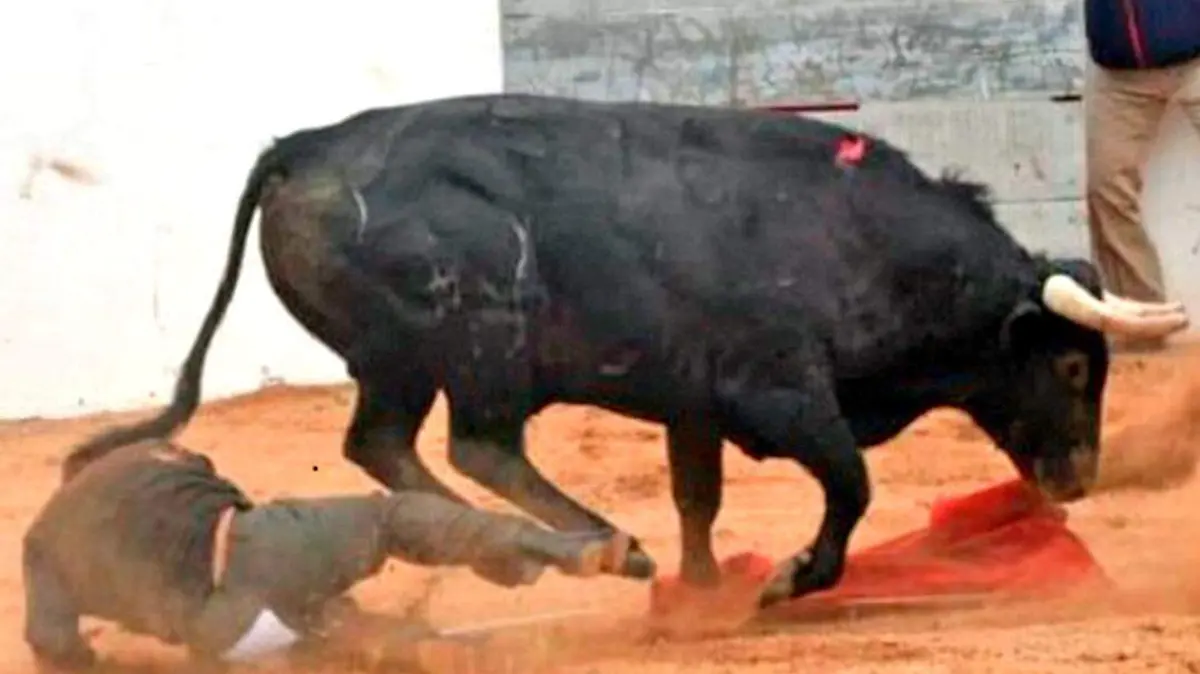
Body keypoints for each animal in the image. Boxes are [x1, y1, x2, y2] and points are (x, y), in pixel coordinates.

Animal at [63, 93, 1188, 607]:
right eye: (1074, 365)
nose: (1078, 480)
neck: (852, 238)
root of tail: (302, 147)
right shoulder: (779, 396)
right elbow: (851, 481)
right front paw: (787, 578)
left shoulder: (694, 405)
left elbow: (699, 494)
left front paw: (702, 586)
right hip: (478, 345)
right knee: (476, 446)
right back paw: (590, 543)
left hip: (399, 364)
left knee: (384, 445)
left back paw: (532, 547)